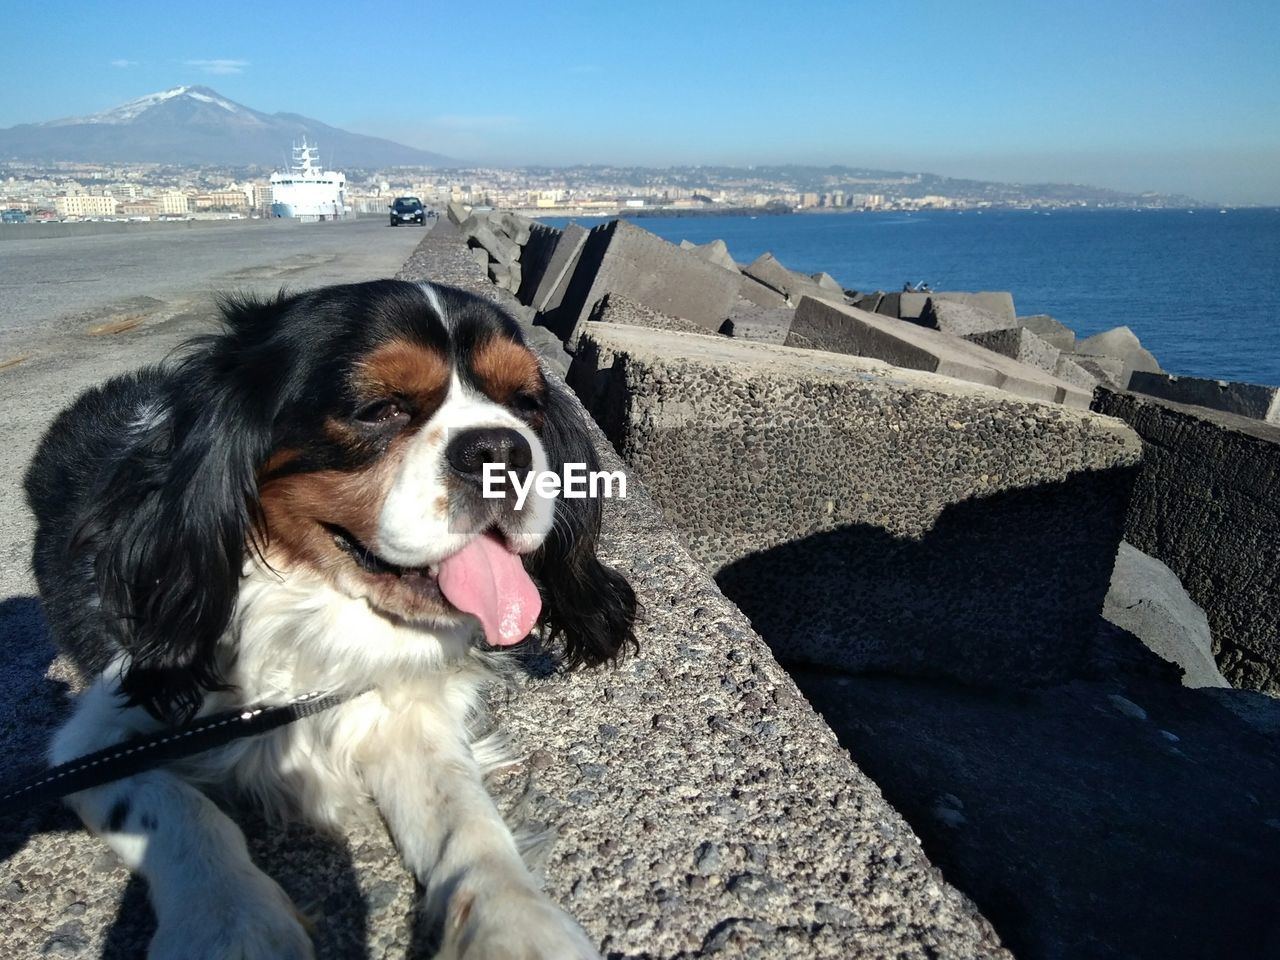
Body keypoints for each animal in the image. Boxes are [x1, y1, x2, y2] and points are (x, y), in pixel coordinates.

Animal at [20, 280, 634, 960]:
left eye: (526, 403)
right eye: (377, 408)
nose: (500, 447)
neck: (317, 608)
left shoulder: (403, 716)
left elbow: (468, 818)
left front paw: (517, 927)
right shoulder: (95, 743)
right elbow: (182, 813)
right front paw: (233, 924)